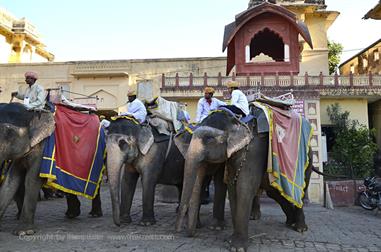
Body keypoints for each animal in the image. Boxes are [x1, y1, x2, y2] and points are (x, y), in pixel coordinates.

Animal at [175, 110, 312, 252]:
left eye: (209, 140)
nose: (179, 231)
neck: (238, 121)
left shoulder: (253, 153)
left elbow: (244, 187)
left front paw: (237, 247)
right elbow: (232, 187)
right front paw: (231, 240)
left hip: (305, 163)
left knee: (301, 191)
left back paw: (300, 228)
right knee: (275, 193)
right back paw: (290, 222)